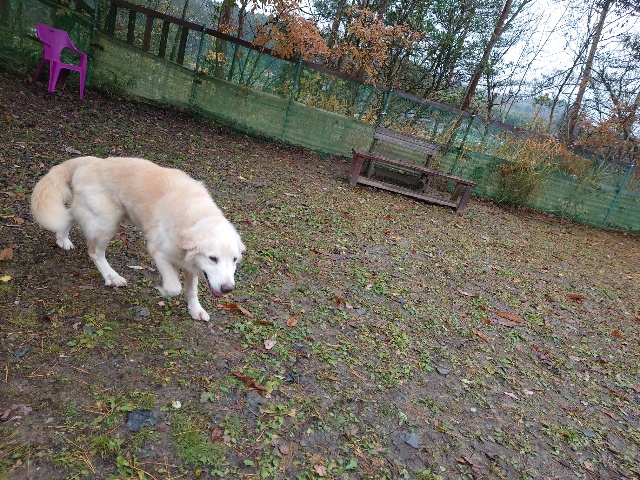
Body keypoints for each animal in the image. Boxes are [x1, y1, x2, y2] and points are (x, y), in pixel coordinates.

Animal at [31, 156, 245, 321]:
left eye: (235, 260)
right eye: (213, 258)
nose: (228, 289)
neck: (196, 218)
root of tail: (90, 161)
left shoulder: (191, 265)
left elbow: (192, 290)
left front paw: (196, 310)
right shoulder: (159, 252)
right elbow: (174, 286)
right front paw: (164, 291)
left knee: (67, 216)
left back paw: (63, 240)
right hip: (107, 223)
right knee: (94, 252)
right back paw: (111, 277)